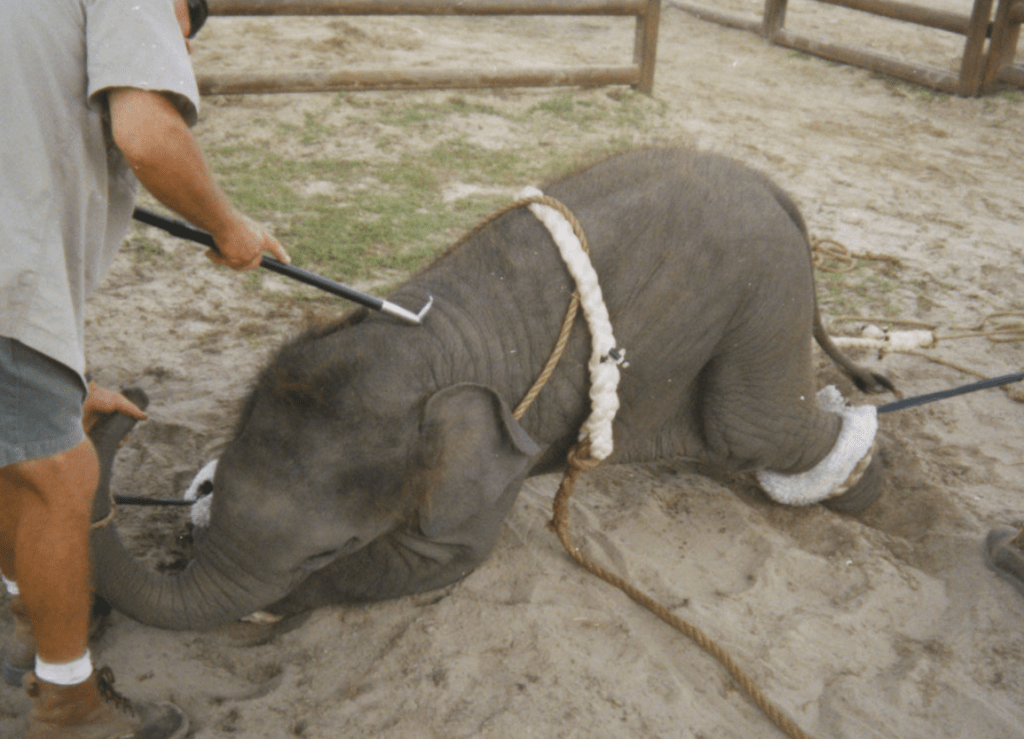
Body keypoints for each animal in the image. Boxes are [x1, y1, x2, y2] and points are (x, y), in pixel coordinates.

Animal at [89, 148, 893, 631]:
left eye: (328, 550)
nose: (132, 398)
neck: (425, 345)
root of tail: (775, 187)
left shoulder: (498, 456)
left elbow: (444, 559)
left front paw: (278, 610)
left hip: (762, 292)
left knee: (754, 425)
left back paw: (867, 486)